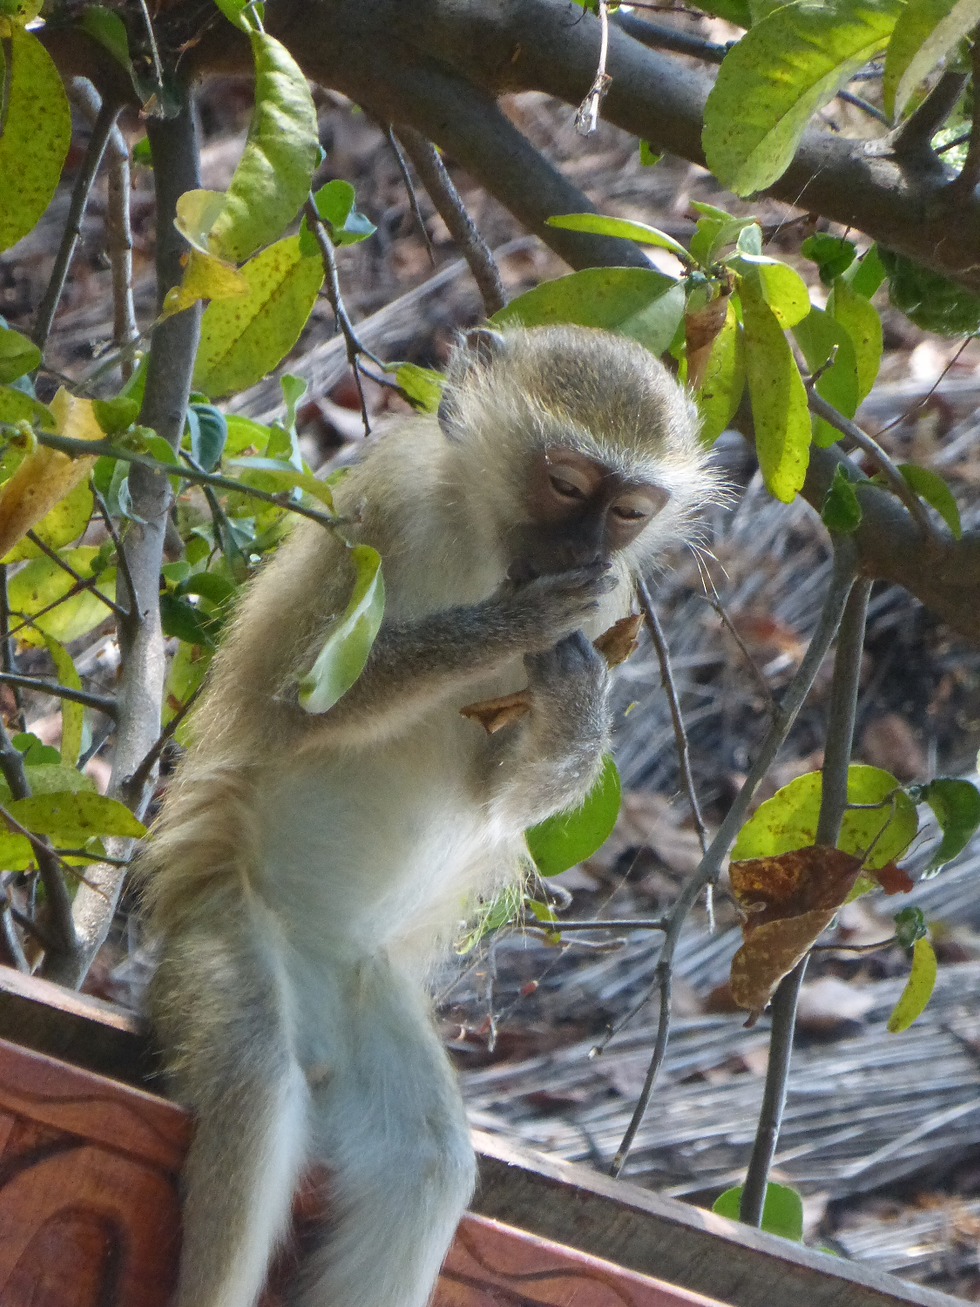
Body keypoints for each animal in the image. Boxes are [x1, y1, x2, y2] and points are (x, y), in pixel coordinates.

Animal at [141, 323, 721, 1307]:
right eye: (567, 484)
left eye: (629, 510)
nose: (579, 549)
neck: (482, 537)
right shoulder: (379, 508)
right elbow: (299, 703)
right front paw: (511, 625)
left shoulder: (611, 601)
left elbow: (503, 796)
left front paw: (578, 702)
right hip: (230, 920)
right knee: (255, 1074)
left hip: (364, 996)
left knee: (425, 1166)